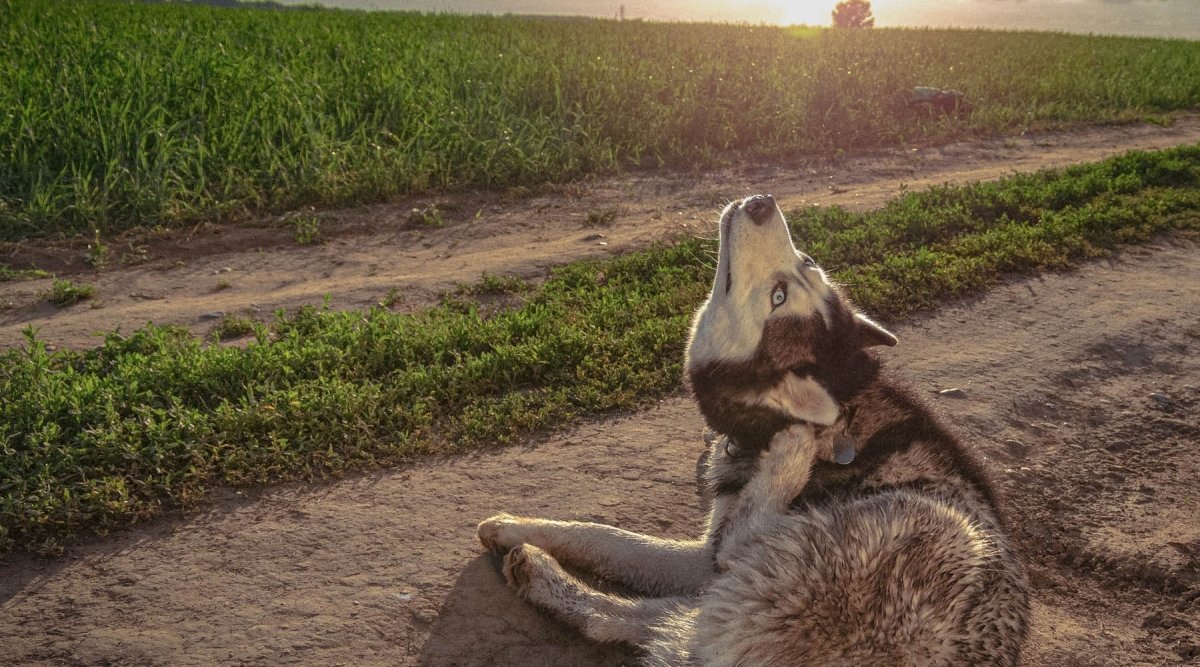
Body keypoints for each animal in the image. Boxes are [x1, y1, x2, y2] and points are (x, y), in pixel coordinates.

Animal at [477, 195, 1032, 662]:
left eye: (777, 297)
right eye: (806, 264)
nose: (764, 203)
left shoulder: (711, 557)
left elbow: (612, 537)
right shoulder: (703, 558)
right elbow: (607, 539)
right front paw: (511, 528)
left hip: (921, 533)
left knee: (676, 592)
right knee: (648, 621)